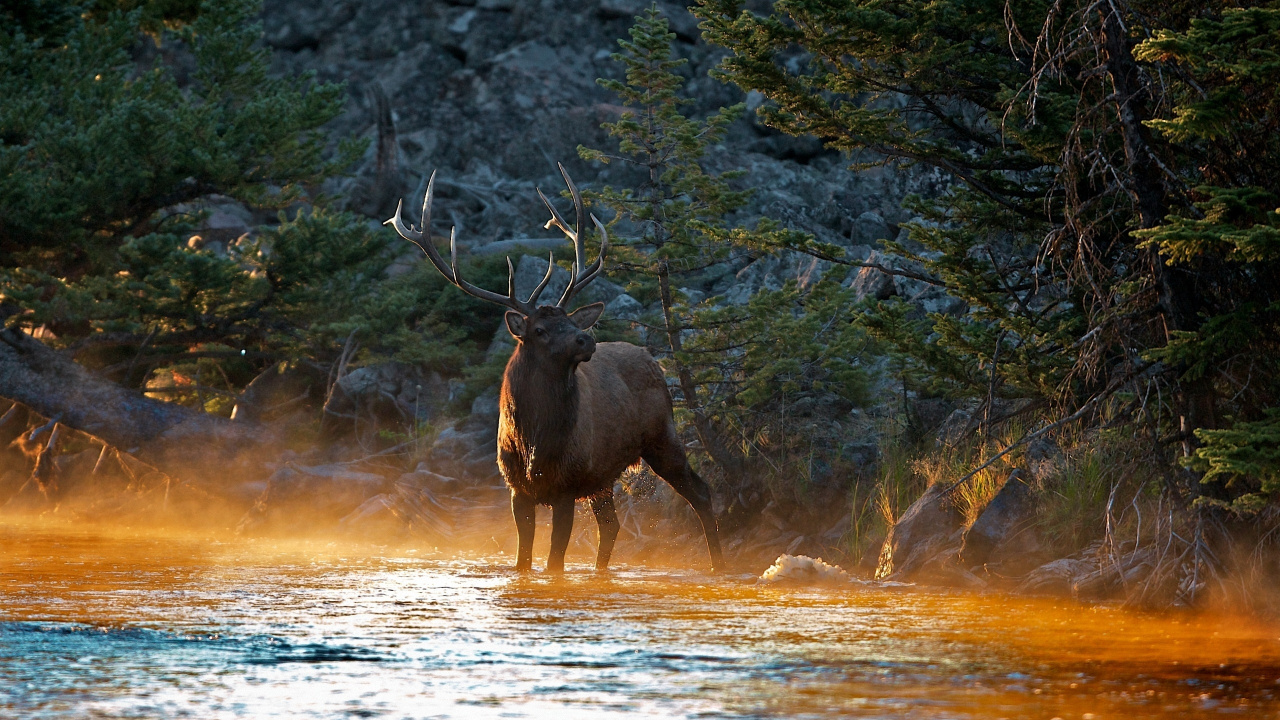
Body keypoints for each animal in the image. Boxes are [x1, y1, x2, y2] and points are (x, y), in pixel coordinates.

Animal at [386, 165, 724, 574]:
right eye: (540, 329)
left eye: (569, 320)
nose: (585, 338)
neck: (535, 441)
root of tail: (652, 360)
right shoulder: (517, 489)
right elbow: (523, 560)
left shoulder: (566, 486)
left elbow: (554, 563)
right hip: (602, 474)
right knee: (611, 525)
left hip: (662, 436)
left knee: (700, 492)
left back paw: (719, 565)